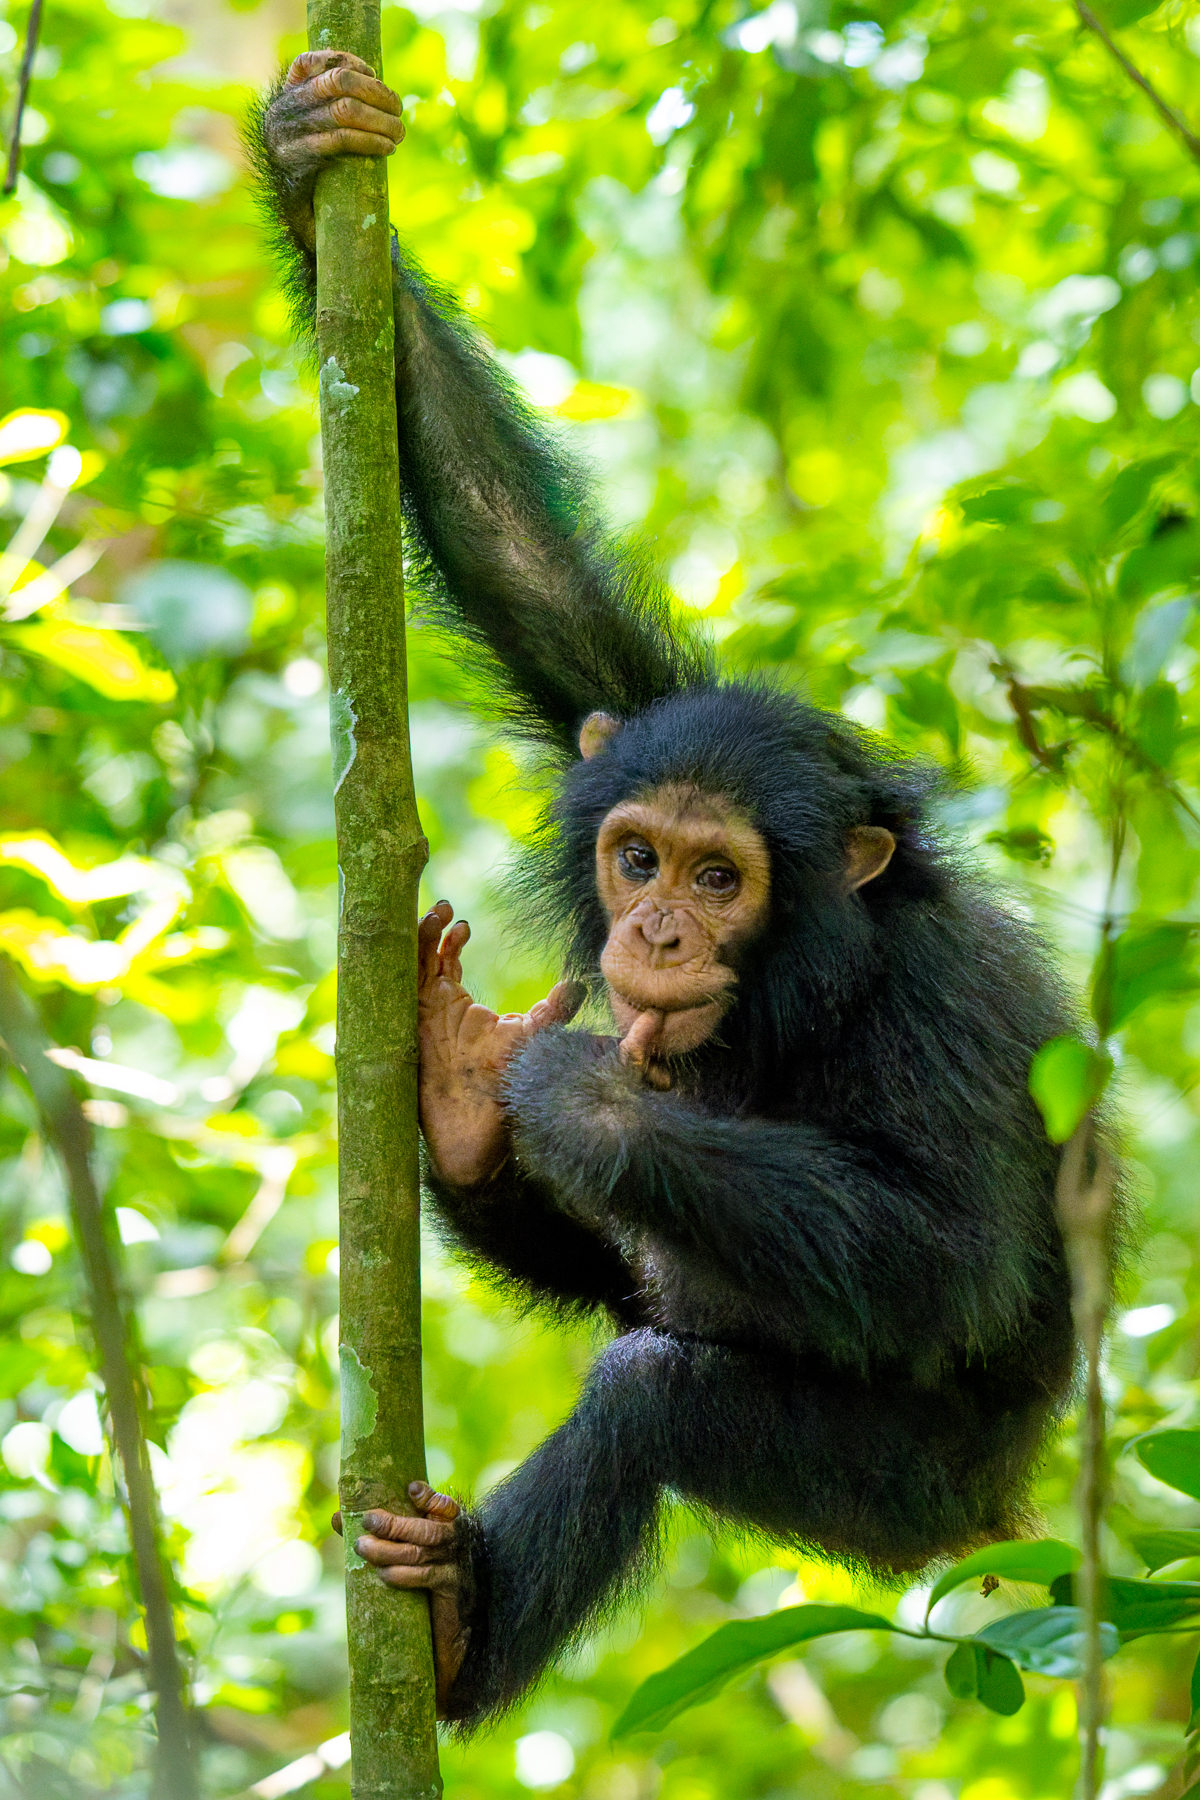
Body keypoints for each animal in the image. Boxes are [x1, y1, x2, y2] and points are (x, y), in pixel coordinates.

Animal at [249, 54, 1081, 1728]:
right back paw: (457, 1106)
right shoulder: (628, 707)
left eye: (719, 873)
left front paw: (589, 1096)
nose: (656, 927)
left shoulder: (951, 1016)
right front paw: (312, 161)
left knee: (651, 1393)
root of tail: (998, 1521)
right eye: (637, 855)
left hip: (883, 1500)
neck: (807, 969)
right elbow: (522, 566)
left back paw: (461, 1626)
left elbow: (957, 1249)